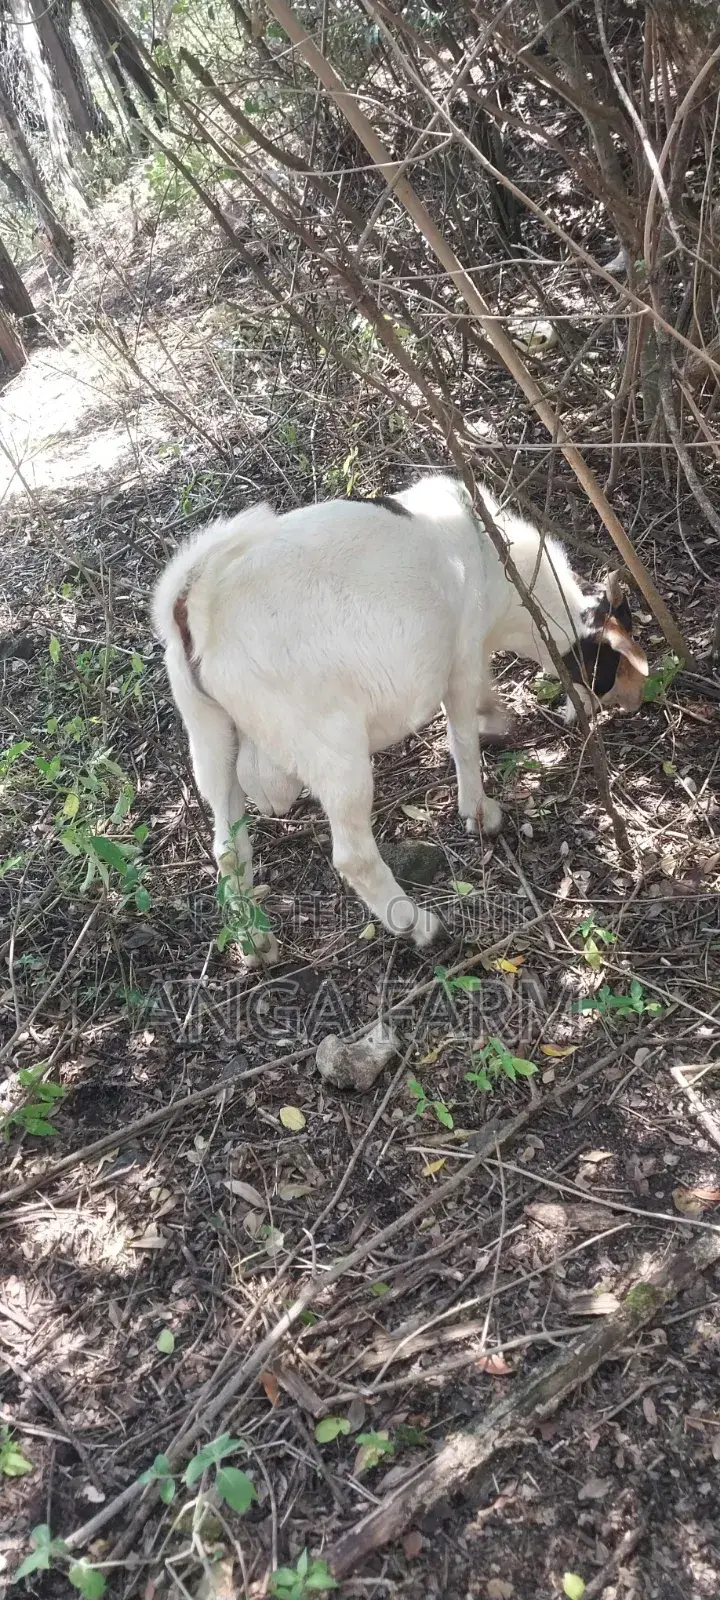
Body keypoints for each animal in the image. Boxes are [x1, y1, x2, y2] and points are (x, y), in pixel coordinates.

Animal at [153, 476, 647, 962]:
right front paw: (480, 812)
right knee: (352, 854)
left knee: (228, 849)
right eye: (611, 658)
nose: (635, 700)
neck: (499, 566)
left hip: (209, 734)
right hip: (330, 744)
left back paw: (256, 944)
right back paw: (418, 925)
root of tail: (194, 608)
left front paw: (496, 720)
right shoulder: (461, 658)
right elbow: (463, 738)